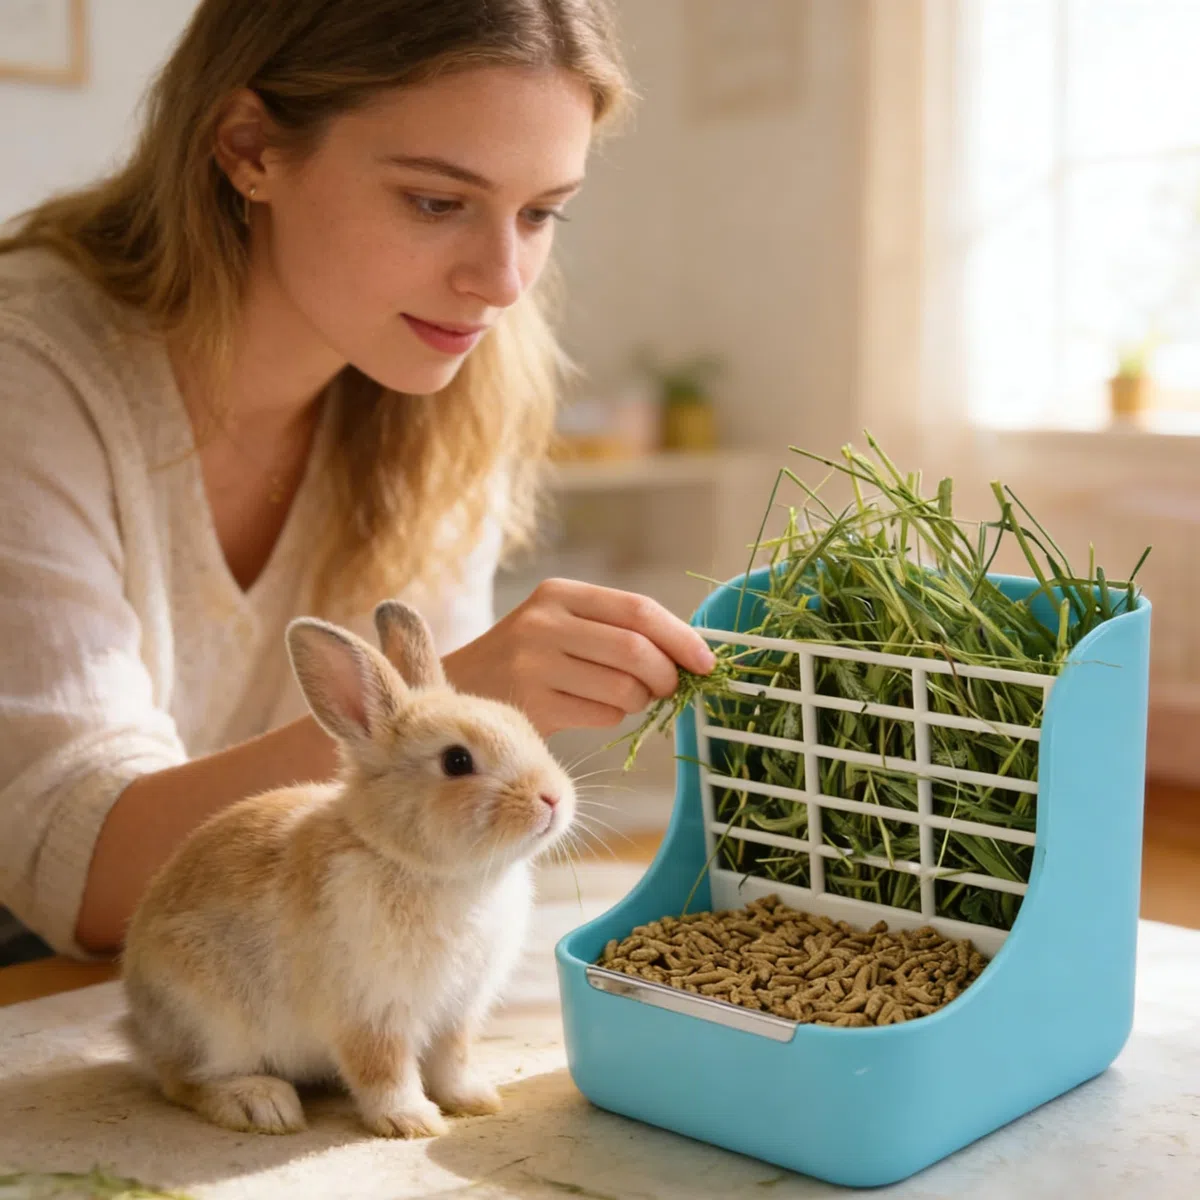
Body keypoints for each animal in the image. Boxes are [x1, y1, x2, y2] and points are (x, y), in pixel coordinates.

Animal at [119, 599, 576, 1139]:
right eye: (457, 761)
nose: (553, 798)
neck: (423, 868)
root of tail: (138, 1025)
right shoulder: (371, 1012)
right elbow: (383, 1070)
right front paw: (413, 1121)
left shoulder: (456, 1013)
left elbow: (452, 1060)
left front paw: (475, 1100)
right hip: (212, 1022)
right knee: (183, 1080)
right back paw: (262, 1104)